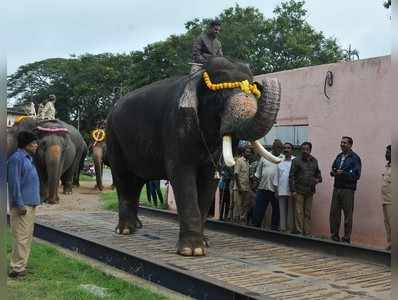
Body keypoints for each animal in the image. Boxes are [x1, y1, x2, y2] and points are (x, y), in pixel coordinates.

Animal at [105, 57, 280, 256]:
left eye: (255, 94)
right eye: (220, 97)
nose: (269, 81)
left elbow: (209, 180)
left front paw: (203, 243)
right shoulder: (177, 126)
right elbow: (182, 175)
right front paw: (192, 251)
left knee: (137, 180)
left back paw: (136, 226)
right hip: (113, 138)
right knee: (123, 178)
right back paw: (125, 230)